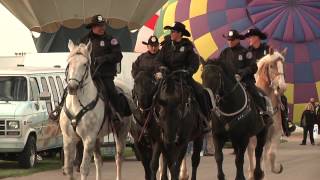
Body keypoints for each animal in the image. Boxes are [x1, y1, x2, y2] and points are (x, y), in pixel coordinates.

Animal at [59, 40, 131, 180]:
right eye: (69, 63)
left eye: (85, 64)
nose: (72, 87)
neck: (77, 104)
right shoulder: (68, 139)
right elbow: (69, 168)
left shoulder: (88, 138)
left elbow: (83, 168)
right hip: (98, 139)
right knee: (98, 161)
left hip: (121, 132)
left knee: (118, 158)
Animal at [248, 48, 288, 179]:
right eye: (271, 66)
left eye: (282, 65)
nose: (282, 87)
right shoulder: (252, 138)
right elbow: (253, 156)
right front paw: (253, 174)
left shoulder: (275, 134)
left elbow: (271, 154)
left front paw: (276, 168)